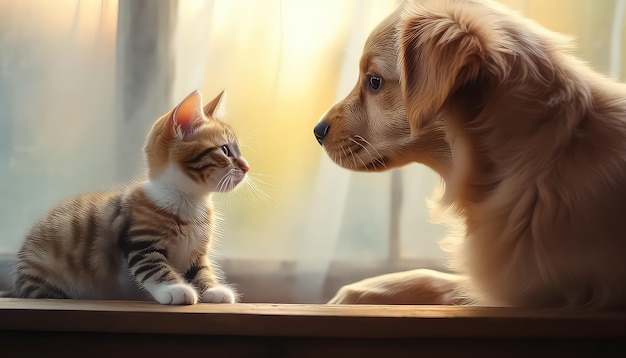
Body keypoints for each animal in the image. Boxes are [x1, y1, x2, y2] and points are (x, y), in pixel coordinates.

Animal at [8, 90, 249, 304]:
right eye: (225, 151)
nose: (247, 167)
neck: (191, 202)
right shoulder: (140, 241)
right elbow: (154, 267)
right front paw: (175, 288)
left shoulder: (196, 251)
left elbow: (201, 269)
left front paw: (213, 289)